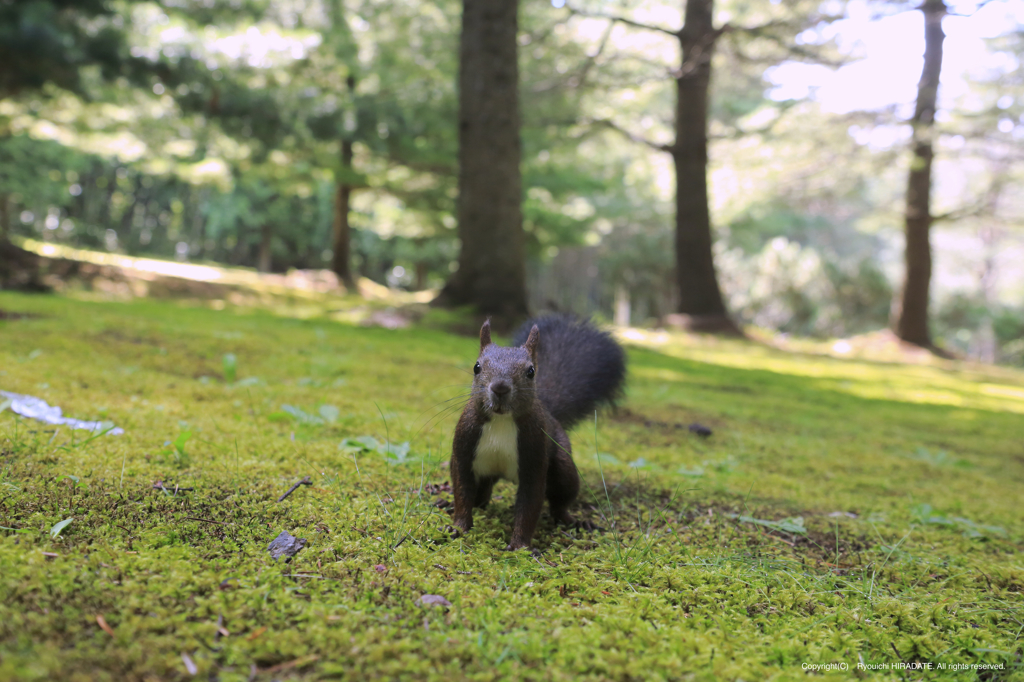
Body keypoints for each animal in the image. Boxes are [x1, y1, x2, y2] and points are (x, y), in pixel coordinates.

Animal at [452, 315, 626, 548]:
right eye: (476, 367)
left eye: (531, 371)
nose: (500, 387)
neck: (501, 421)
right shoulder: (463, 445)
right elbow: (462, 492)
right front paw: (458, 528)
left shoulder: (534, 455)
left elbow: (529, 504)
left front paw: (520, 546)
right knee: (481, 497)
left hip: (563, 465)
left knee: (560, 500)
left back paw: (574, 521)